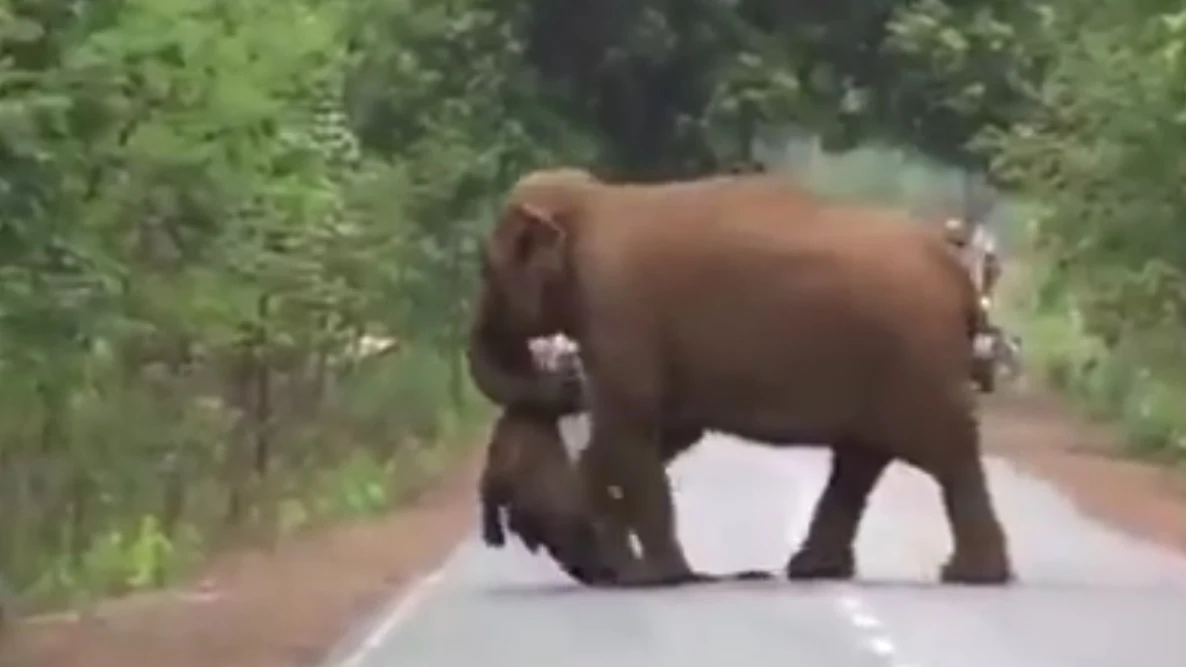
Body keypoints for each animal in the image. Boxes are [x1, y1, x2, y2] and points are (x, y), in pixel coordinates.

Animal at [462, 166, 1010, 586]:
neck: (592, 201)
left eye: (487, 269)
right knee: (861, 460)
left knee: (944, 452)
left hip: (914, 358)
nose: (565, 376)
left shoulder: (616, 308)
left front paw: (654, 578)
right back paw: (813, 570)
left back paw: (970, 575)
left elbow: (629, 424)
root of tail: (956, 271)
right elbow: (662, 429)